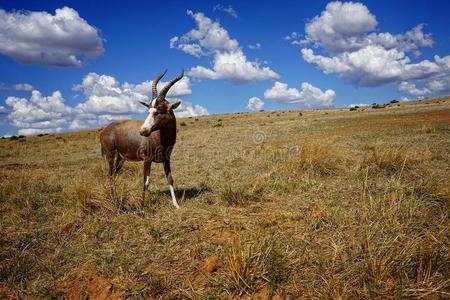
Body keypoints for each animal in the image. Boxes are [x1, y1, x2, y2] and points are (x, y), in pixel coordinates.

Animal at [100, 70, 183, 210]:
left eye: (160, 110)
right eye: (148, 110)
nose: (143, 131)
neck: (160, 138)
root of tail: (104, 130)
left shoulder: (166, 160)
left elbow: (170, 179)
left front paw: (176, 205)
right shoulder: (147, 160)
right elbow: (145, 182)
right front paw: (142, 209)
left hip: (121, 158)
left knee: (114, 175)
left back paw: (116, 201)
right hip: (110, 155)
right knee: (110, 175)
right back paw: (114, 201)